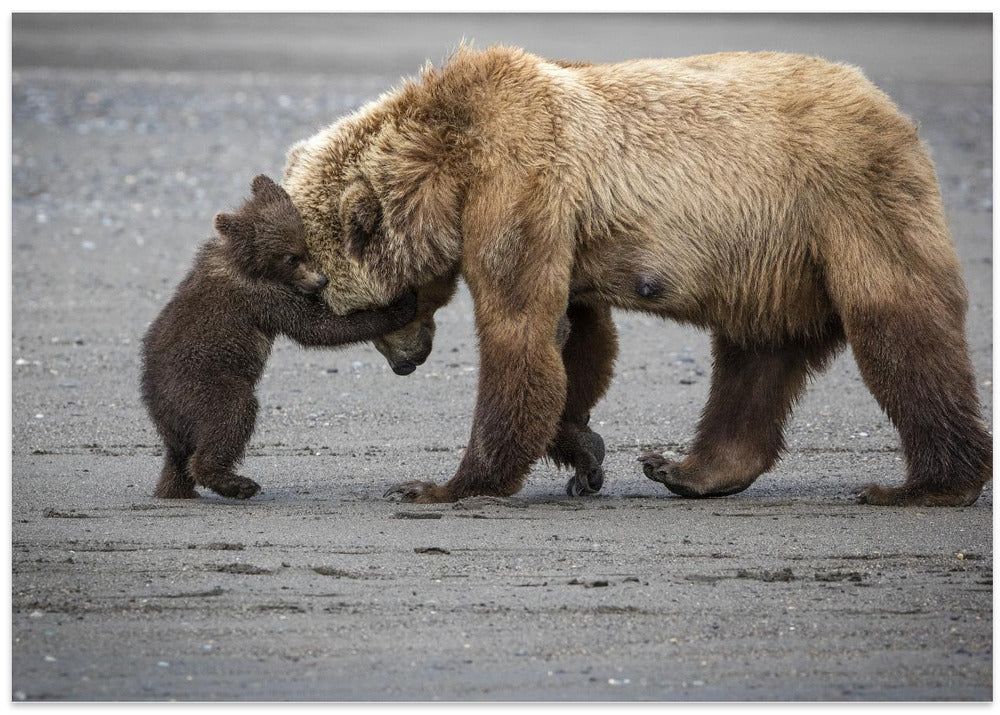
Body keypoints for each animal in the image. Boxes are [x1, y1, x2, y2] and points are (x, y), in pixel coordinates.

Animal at [140, 174, 417, 500]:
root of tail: (157, 407)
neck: (246, 263)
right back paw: (236, 482)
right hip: (202, 385)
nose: (321, 280)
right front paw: (401, 304)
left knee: (178, 458)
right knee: (231, 415)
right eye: (290, 257)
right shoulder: (263, 297)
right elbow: (317, 327)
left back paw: (176, 489)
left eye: (305, 246)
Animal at [281, 46, 992, 507]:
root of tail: (890, 107)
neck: (448, 164)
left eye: (353, 307)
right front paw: (584, 452)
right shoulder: (560, 225)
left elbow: (520, 333)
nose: (407, 362)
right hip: (772, 262)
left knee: (900, 327)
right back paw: (688, 469)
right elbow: (576, 338)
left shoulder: (520, 183)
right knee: (755, 357)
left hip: (845, 202)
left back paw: (927, 484)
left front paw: (444, 484)